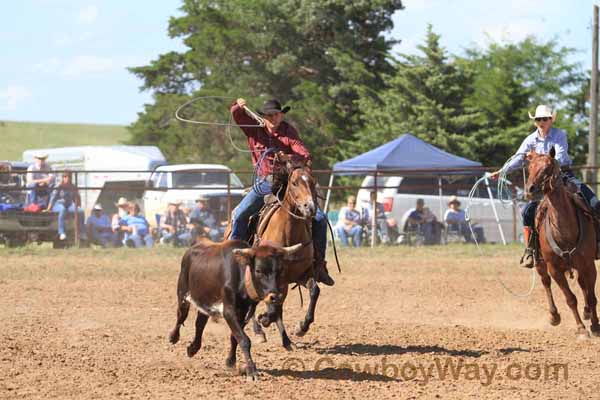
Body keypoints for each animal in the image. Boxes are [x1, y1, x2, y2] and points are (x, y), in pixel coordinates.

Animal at [528, 148, 596, 336]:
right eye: (529, 167)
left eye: (548, 167)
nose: (530, 188)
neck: (566, 232)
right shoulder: (555, 269)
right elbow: (570, 298)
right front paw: (581, 329)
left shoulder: (589, 264)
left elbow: (592, 296)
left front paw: (595, 325)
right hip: (540, 263)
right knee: (545, 282)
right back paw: (554, 316)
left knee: (583, 284)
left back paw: (587, 313)